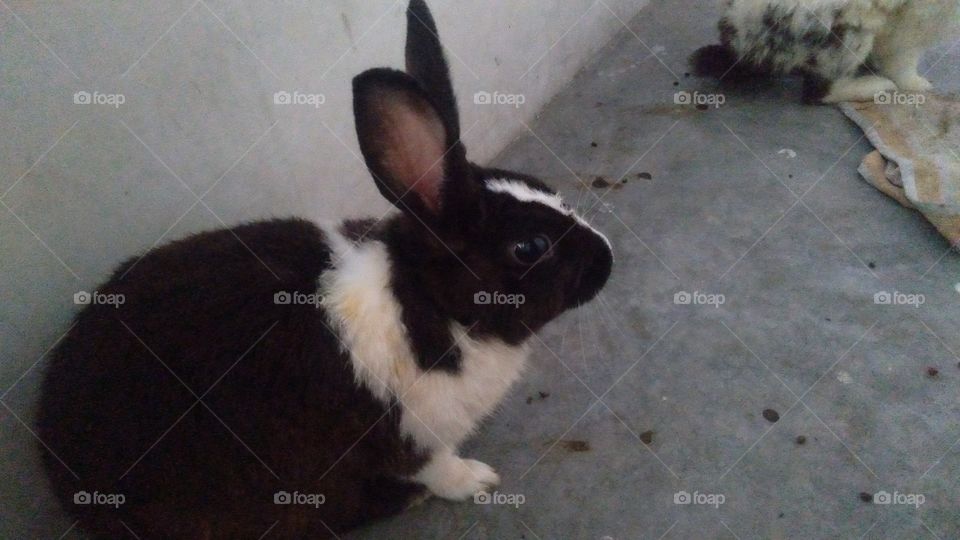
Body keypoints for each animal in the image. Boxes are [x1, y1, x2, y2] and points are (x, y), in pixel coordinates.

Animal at [35, 0, 613, 538]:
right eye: (530, 246)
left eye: (543, 188)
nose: (607, 259)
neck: (429, 304)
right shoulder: (410, 437)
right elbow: (438, 469)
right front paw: (478, 479)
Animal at [690, 0, 960, 103]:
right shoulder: (910, 25)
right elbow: (903, 61)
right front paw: (918, 86)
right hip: (849, 31)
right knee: (817, 91)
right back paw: (875, 86)